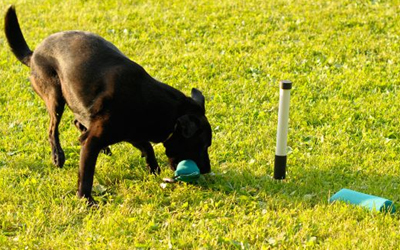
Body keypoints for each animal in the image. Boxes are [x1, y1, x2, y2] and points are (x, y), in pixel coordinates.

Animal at [4, 5, 212, 204]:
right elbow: (86, 174)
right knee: (52, 129)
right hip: (55, 96)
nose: (207, 170)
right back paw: (58, 156)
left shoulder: (131, 132)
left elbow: (148, 147)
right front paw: (86, 200)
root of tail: (33, 54)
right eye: (203, 145)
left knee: (77, 122)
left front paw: (153, 169)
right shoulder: (93, 141)